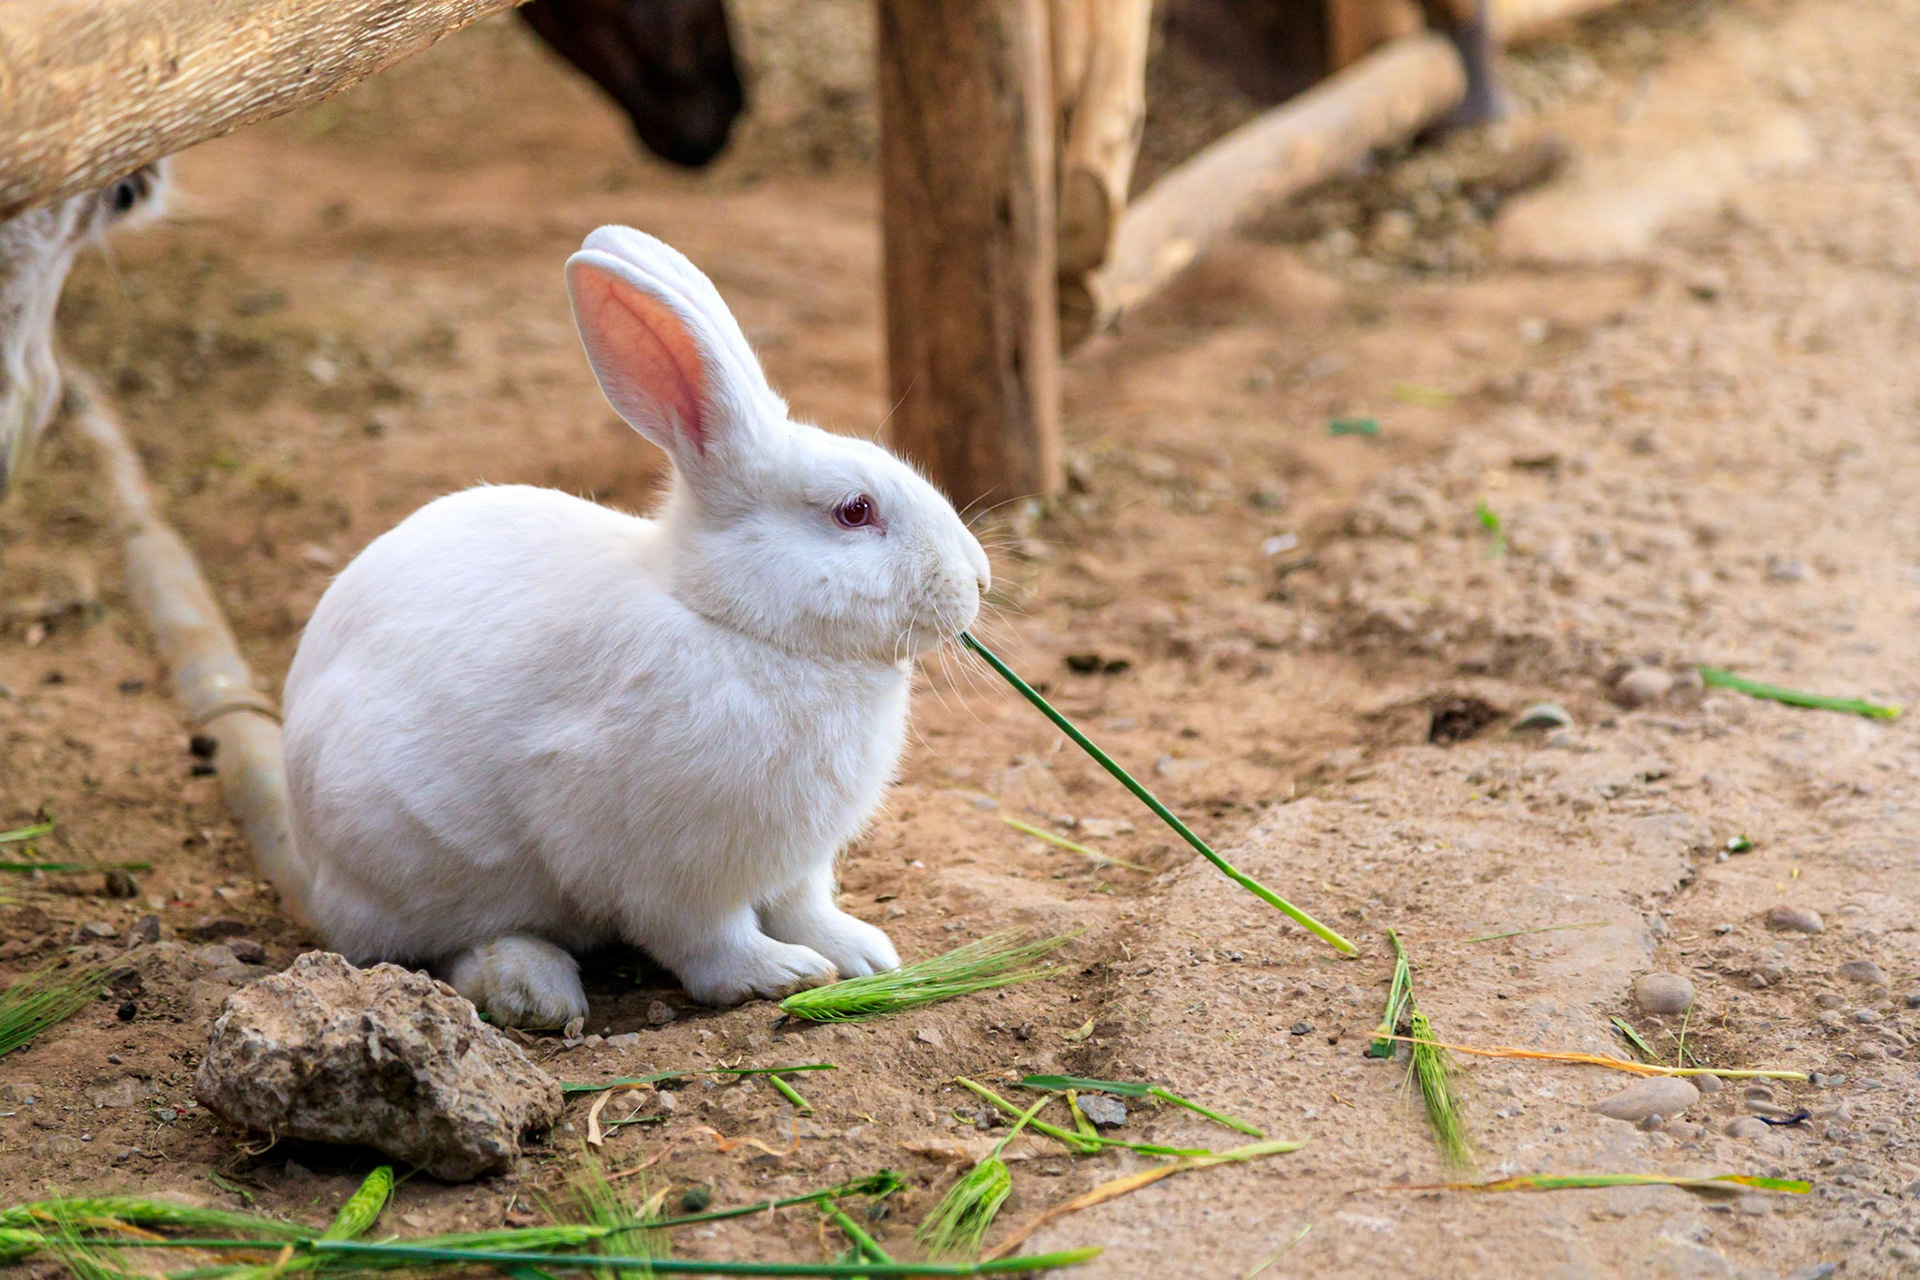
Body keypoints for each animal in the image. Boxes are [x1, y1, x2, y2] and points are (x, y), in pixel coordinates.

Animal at [281, 226, 990, 1029]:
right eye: (855, 511)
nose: (978, 579)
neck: (734, 623)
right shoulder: (667, 866)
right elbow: (708, 938)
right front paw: (779, 974)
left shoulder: (795, 861)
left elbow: (804, 906)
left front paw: (863, 955)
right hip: (411, 860)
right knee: (439, 946)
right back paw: (533, 987)